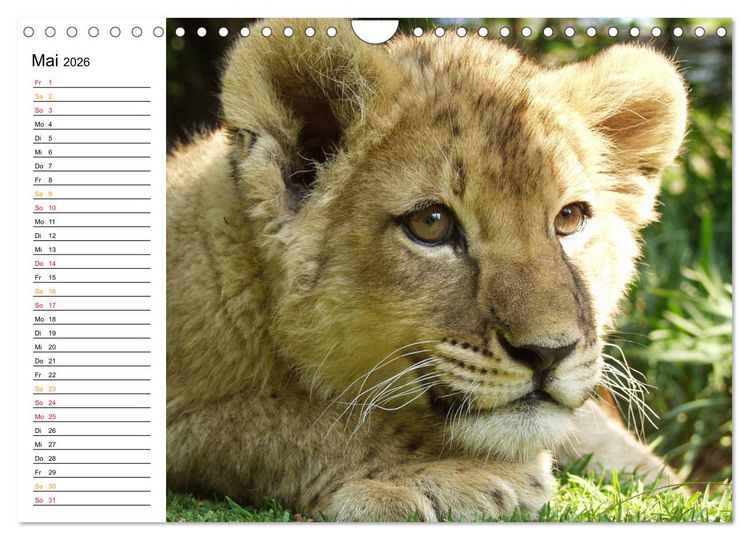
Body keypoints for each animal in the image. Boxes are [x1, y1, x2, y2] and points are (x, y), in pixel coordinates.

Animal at [166, 19, 688, 521]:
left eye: (569, 219)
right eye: (431, 224)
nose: (548, 353)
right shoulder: (181, 421)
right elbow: (284, 423)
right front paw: (460, 473)